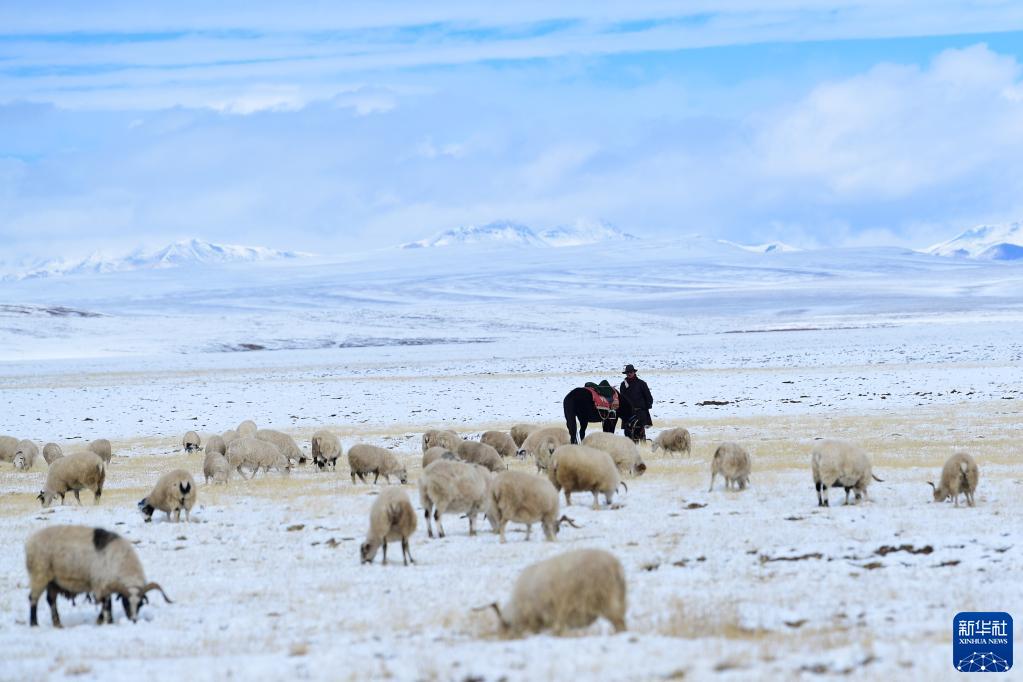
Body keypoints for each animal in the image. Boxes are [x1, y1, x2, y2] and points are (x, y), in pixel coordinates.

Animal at [24, 527, 172, 625]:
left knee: (51, 600)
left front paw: (104, 620)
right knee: (33, 598)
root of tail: (30, 542)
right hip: (39, 575)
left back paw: (57, 624)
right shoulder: (101, 584)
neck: (122, 562)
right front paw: (106, 621)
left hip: (53, 581)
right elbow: (107, 604)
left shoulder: (107, 585)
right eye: (125, 602)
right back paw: (34, 624)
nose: (134, 620)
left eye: (140, 604)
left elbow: (107, 604)